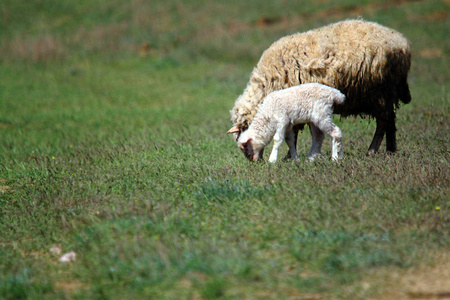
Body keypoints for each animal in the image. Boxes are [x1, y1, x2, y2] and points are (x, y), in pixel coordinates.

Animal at [229, 19, 412, 158]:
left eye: (243, 143)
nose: (255, 161)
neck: (266, 85)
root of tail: (402, 44)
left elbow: (294, 134)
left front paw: (289, 156)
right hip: (386, 94)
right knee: (390, 121)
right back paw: (390, 150)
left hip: (380, 92)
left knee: (383, 122)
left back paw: (372, 150)